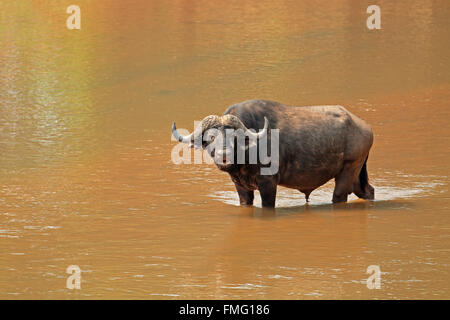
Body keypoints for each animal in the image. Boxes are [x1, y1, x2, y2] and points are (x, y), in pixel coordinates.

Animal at [171, 100, 374, 208]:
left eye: (234, 137)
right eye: (211, 137)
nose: (224, 155)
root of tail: (365, 127)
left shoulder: (268, 184)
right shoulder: (241, 187)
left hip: (349, 169)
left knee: (339, 196)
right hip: (355, 174)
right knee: (368, 191)